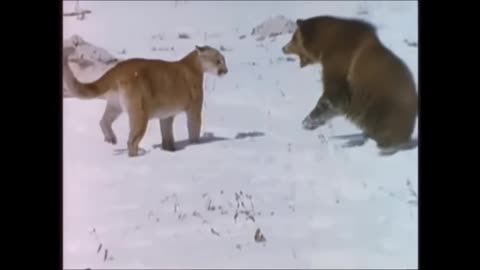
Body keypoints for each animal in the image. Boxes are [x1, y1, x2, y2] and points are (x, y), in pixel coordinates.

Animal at [282, 16, 416, 156]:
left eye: (294, 37)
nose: (284, 48)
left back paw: (382, 147)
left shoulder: (339, 64)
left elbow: (333, 97)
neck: (327, 44)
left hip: (384, 107)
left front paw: (309, 121)